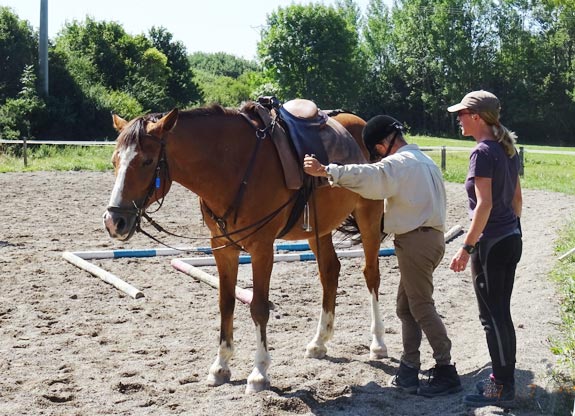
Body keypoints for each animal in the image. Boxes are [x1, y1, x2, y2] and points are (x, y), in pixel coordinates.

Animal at [103, 103, 388, 394]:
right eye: (114, 161)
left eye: (147, 161)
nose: (114, 221)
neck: (233, 167)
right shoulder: (222, 247)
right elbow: (226, 303)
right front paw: (220, 366)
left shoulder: (262, 248)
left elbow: (259, 307)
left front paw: (259, 372)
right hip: (318, 230)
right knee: (330, 271)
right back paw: (319, 342)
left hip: (369, 216)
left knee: (371, 274)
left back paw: (378, 344)